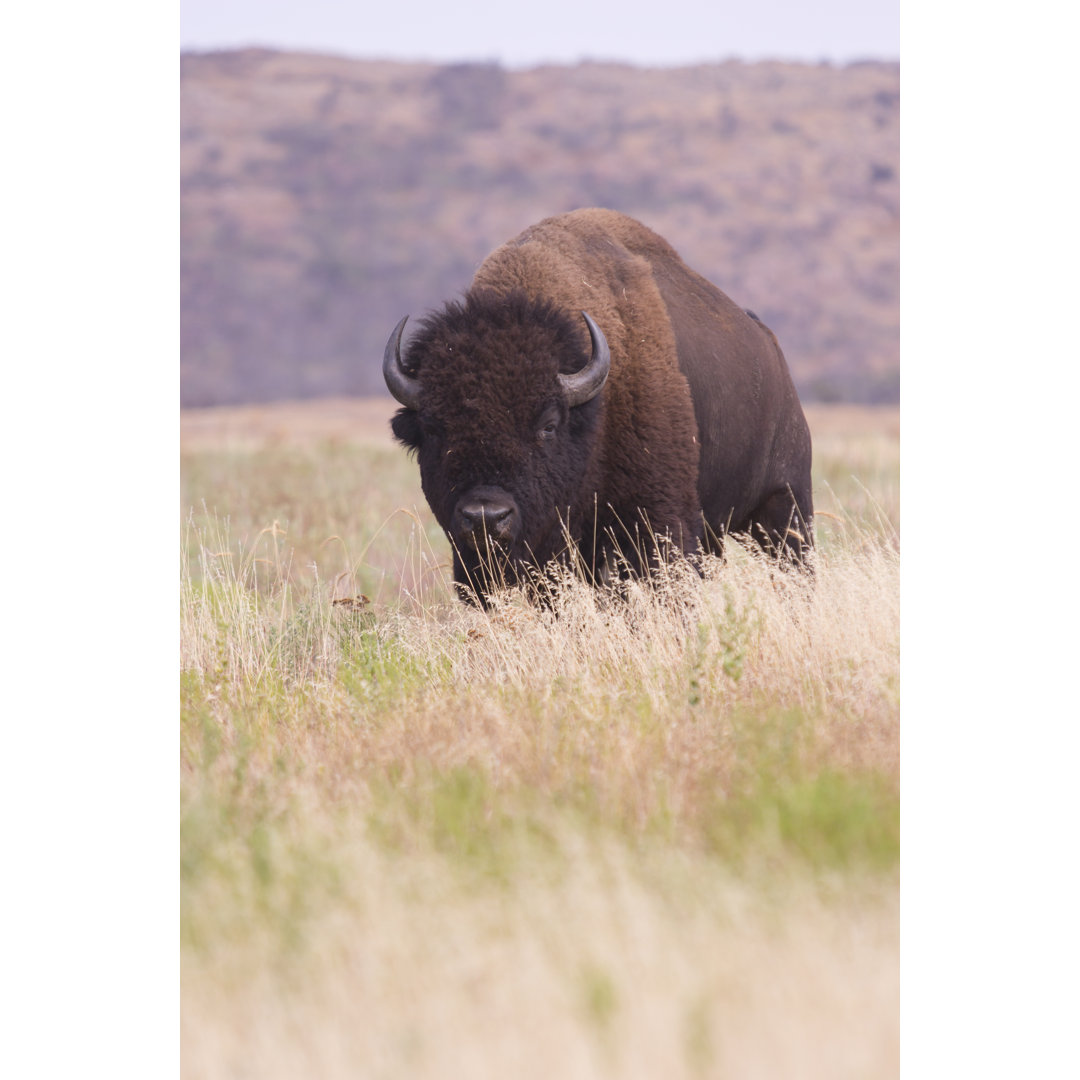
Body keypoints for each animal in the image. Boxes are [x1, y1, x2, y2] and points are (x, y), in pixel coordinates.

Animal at [380, 206, 812, 604]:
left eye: (548, 424)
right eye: (434, 429)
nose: (486, 517)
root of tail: (770, 346)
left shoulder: (659, 524)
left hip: (785, 506)